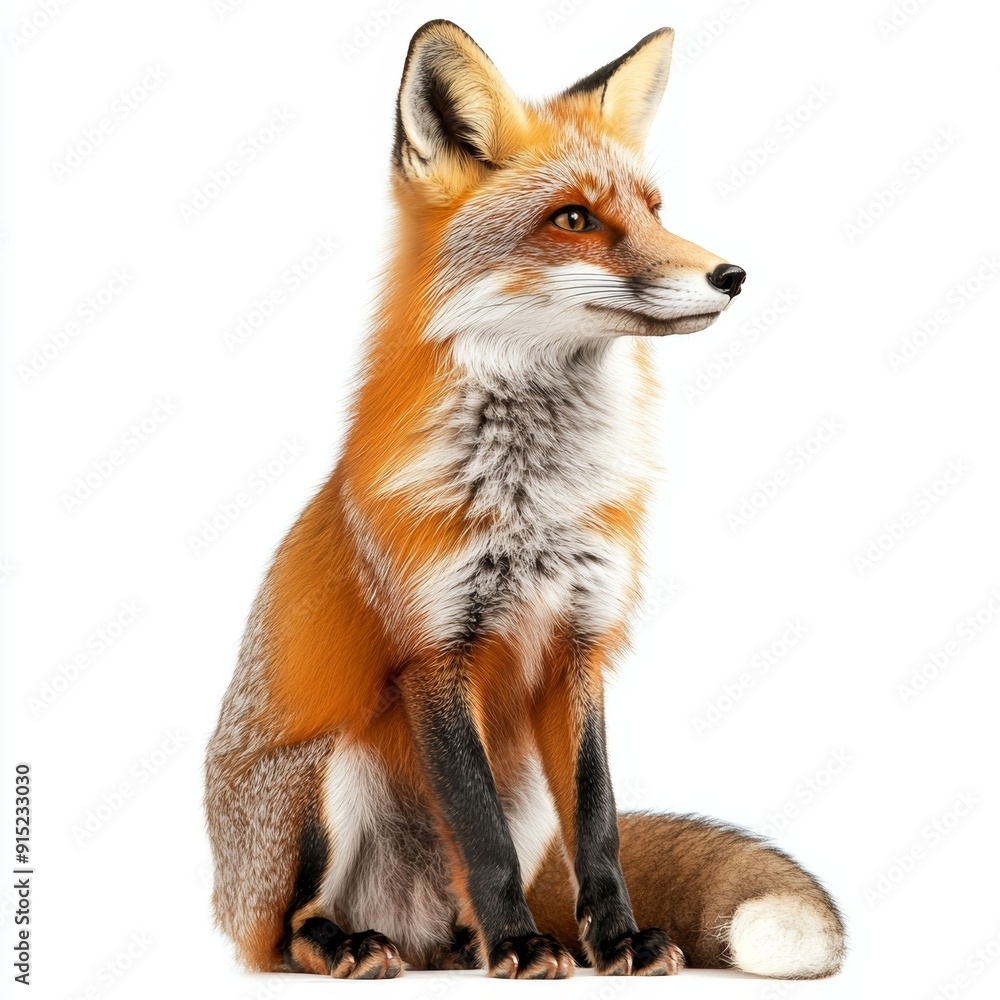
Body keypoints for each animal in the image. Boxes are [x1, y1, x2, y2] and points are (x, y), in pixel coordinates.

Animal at [205, 20, 846, 981]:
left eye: (656, 209)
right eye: (574, 219)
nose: (732, 274)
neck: (532, 500)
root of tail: (416, 926)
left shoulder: (582, 644)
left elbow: (600, 822)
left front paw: (614, 940)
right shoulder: (434, 650)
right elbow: (479, 832)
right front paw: (520, 943)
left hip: (518, 794)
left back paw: (485, 941)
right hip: (328, 776)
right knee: (289, 932)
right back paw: (367, 941)